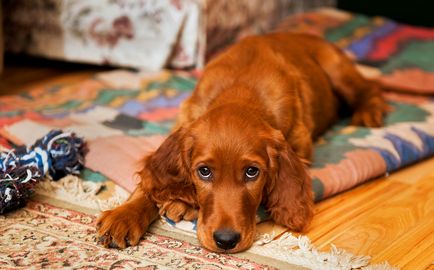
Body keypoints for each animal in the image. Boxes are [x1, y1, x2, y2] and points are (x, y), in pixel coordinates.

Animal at [96, 32, 386, 253]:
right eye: (204, 171)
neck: (241, 91)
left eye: (252, 172)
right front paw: (125, 215)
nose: (226, 241)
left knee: (369, 87)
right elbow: (148, 184)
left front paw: (183, 203)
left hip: (337, 70)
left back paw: (369, 112)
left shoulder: (300, 144)